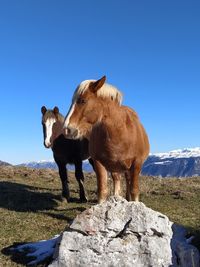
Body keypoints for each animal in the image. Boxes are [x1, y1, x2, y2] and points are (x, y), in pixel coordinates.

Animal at [63, 76, 149, 204]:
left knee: (128, 181)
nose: (66, 129)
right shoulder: (98, 163)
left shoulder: (137, 163)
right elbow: (102, 191)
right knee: (117, 180)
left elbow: (134, 190)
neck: (121, 135)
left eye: (83, 101)